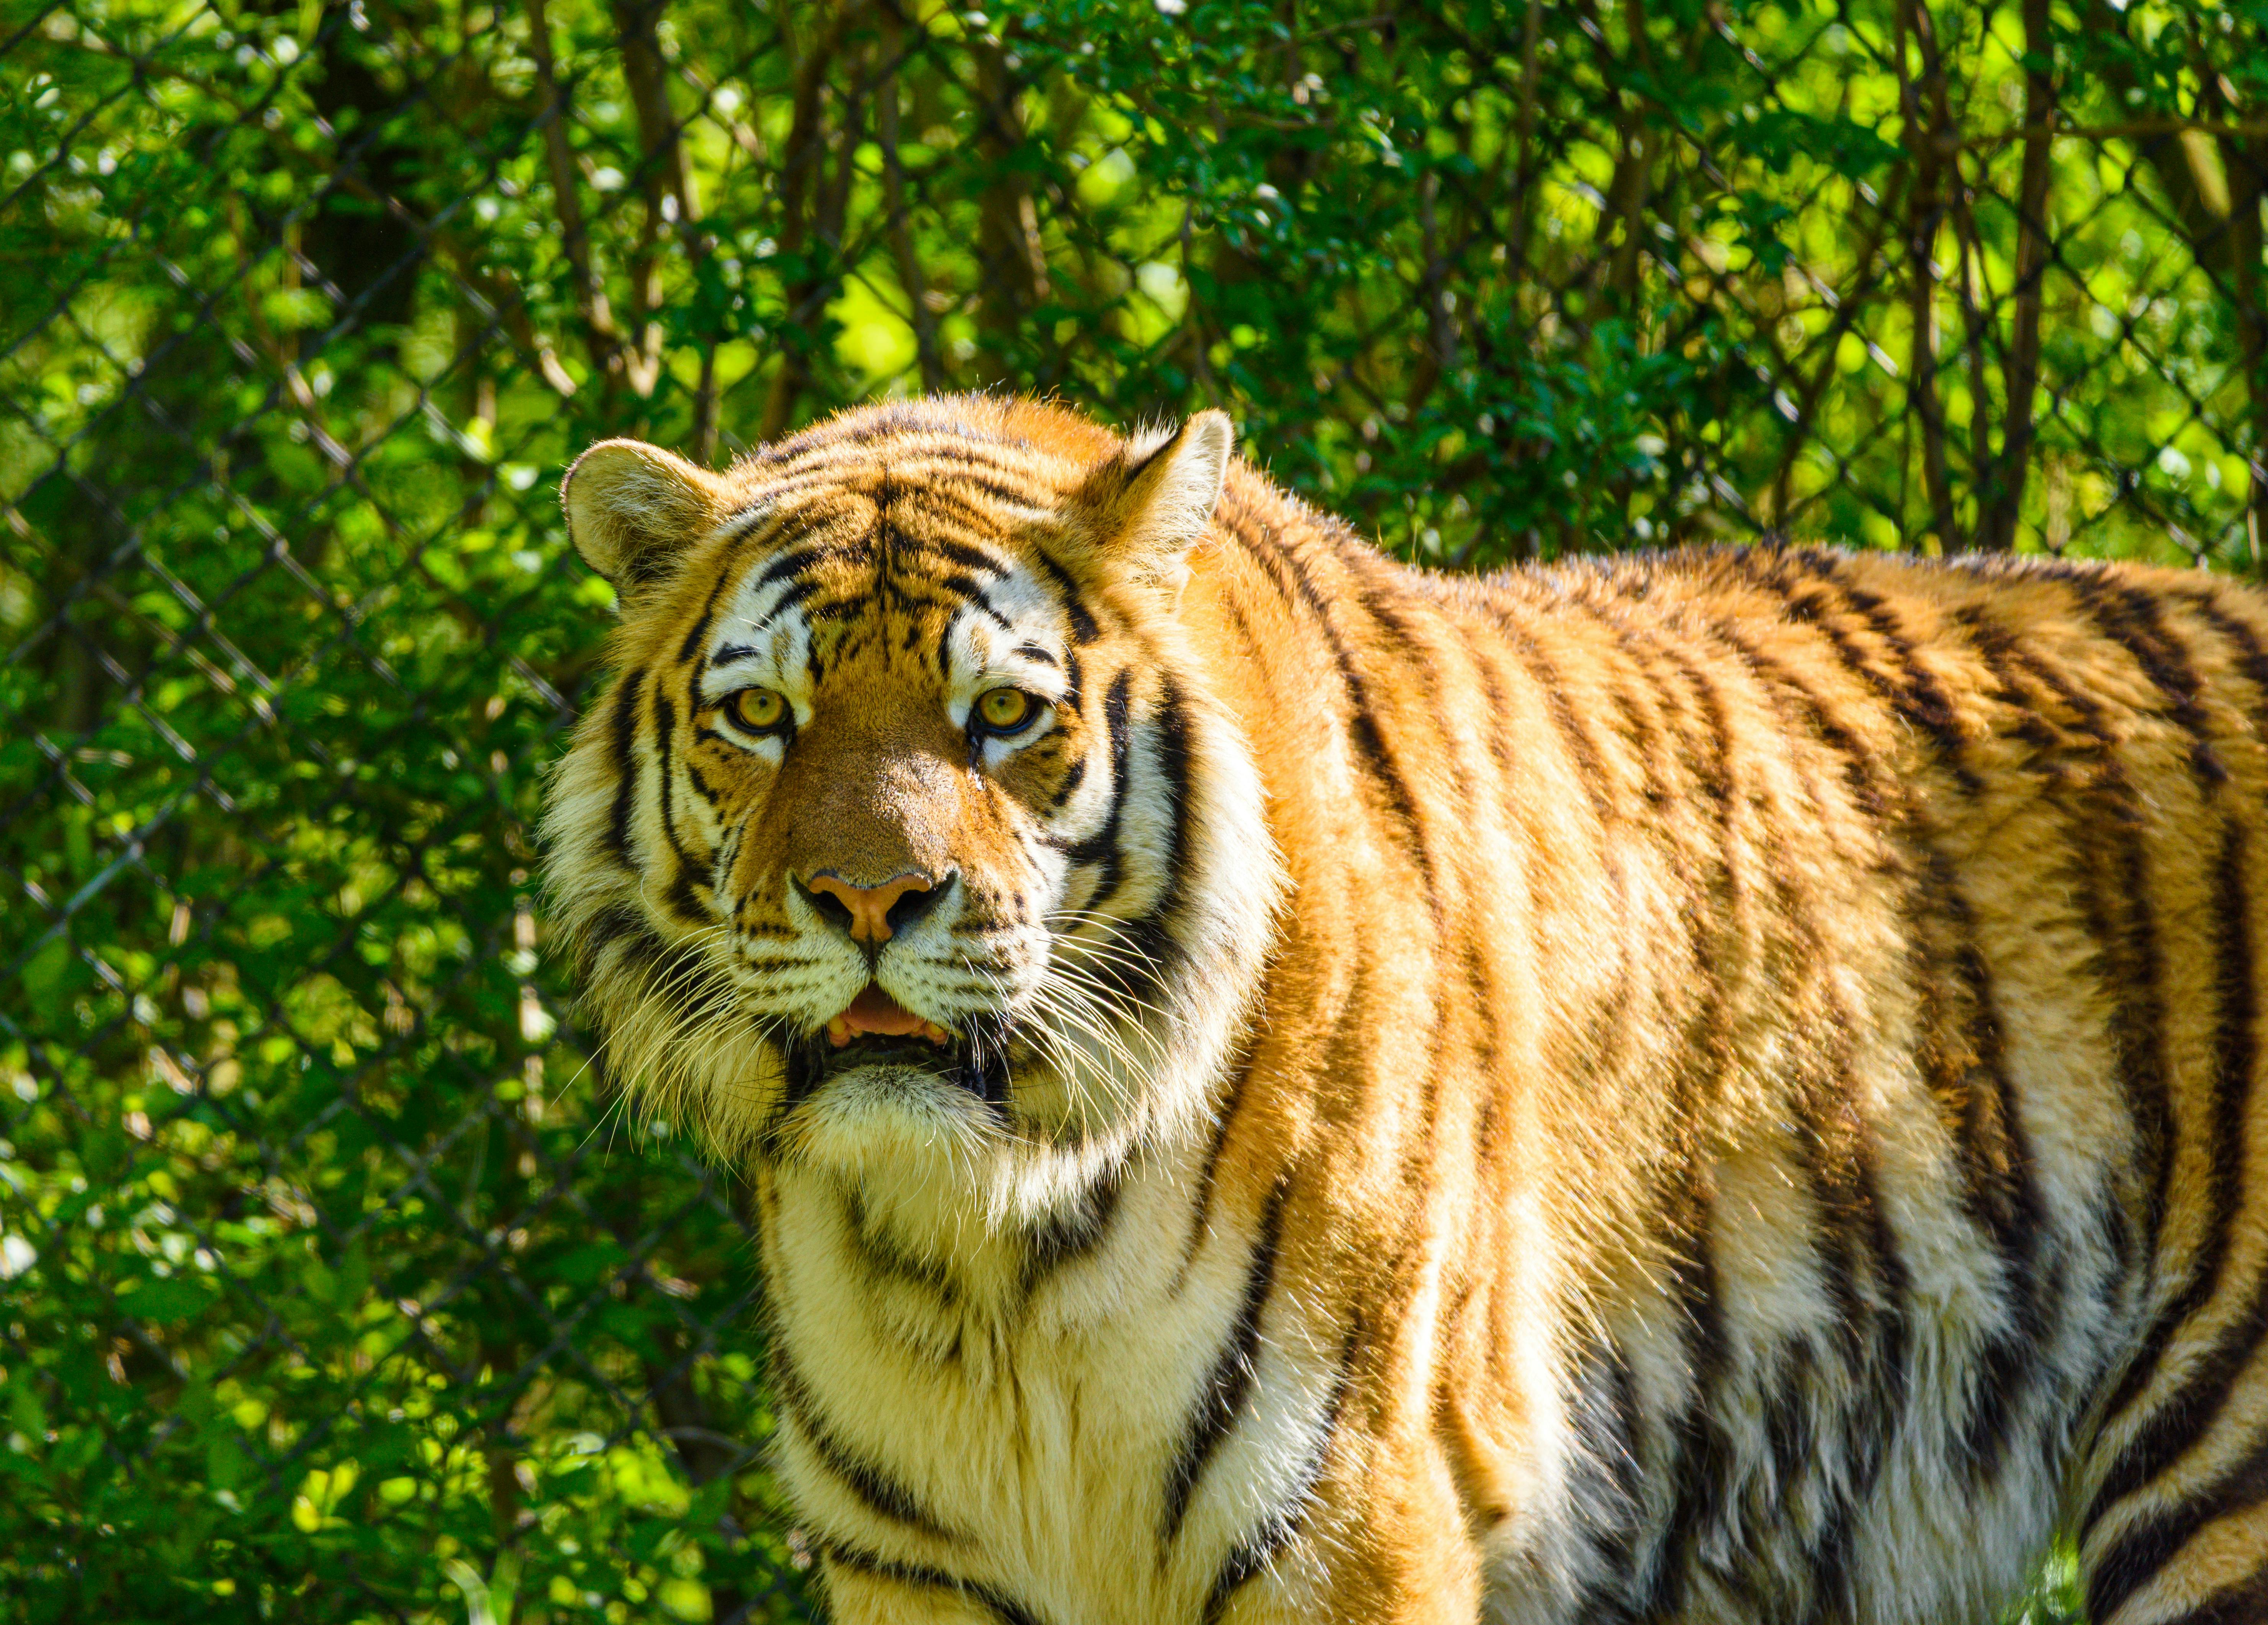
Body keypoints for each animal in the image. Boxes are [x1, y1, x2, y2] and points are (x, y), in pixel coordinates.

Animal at [541, 393, 2268, 1625]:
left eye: (1004, 716)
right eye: (763, 714)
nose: (869, 902)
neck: (975, 1245)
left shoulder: (1347, 1512)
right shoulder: (913, 1555)